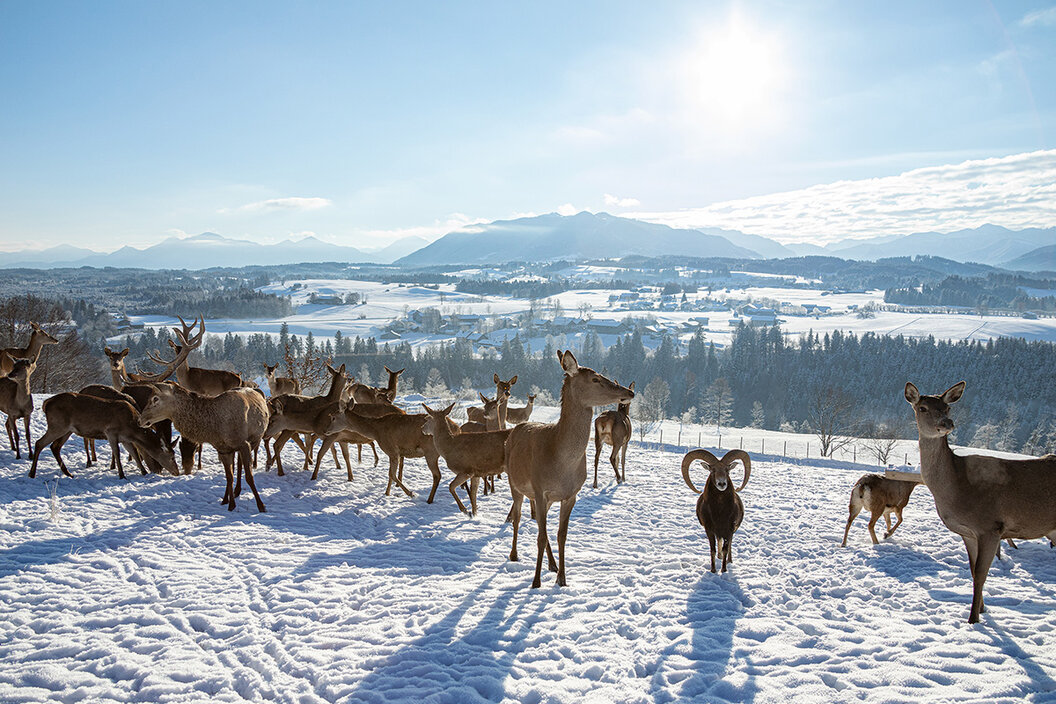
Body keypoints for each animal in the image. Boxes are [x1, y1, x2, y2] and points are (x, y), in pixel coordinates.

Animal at [28, 394, 178, 481]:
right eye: (172, 457)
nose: (177, 472)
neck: (132, 429)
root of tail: (46, 403)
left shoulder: (125, 439)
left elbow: (134, 454)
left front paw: (144, 472)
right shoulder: (110, 432)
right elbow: (117, 453)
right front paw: (122, 475)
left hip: (67, 430)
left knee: (55, 446)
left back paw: (68, 473)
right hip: (57, 425)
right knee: (40, 443)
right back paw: (32, 473)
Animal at [138, 386, 270, 512]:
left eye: (155, 398)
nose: (140, 420)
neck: (215, 428)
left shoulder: (244, 444)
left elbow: (249, 477)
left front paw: (261, 506)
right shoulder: (223, 449)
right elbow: (229, 477)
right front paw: (230, 504)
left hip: (253, 441)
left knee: (241, 464)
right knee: (237, 465)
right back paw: (231, 494)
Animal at [504, 350, 629, 591]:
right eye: (595, 379)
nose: (629, 392)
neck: (562, 465)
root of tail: (513, 431)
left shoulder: (570, 494)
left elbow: (561, 535)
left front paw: (562, 578)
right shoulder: (540, 489)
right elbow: (540, 536)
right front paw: (536, 582)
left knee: (540, 525)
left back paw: (552, 565)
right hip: (514, 482)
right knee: (517, 516)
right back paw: (514, 554)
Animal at [903, 382, 1056, 624]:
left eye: (948, 408)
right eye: (923, 408)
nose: (947, 424)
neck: (957, 490)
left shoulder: (990, 526)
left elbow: (982, 574)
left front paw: (973, 618)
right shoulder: (968, 533)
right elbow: (973, 571)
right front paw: (983, 609)